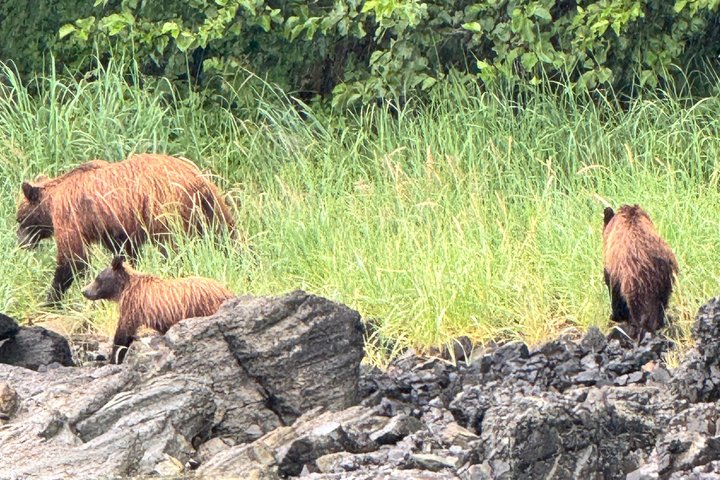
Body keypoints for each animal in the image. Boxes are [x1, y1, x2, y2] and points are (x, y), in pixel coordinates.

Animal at [16, 153, 236, 303]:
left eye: (19, 219)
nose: (20, 244)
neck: (51, 204)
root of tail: (196, 178)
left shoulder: (70, 216)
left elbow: (73, 259)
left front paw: (51, 298)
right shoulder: (113, 224)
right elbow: (124, 250)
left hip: (165, 207)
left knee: (171, 245)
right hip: (212, 206)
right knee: (225, 235)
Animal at [82, 255, 234, 364]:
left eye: (97, 278)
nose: (84, 291)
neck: (124, 288)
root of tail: (225, 290)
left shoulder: (133, 306)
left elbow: (123, 332)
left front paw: (114, 358)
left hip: (205, 305)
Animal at [602, 204, 678, 342]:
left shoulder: (614, 268)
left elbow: (613, 290)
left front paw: (615, 317)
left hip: (634, 279)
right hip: (664, 278)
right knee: (660, 304)